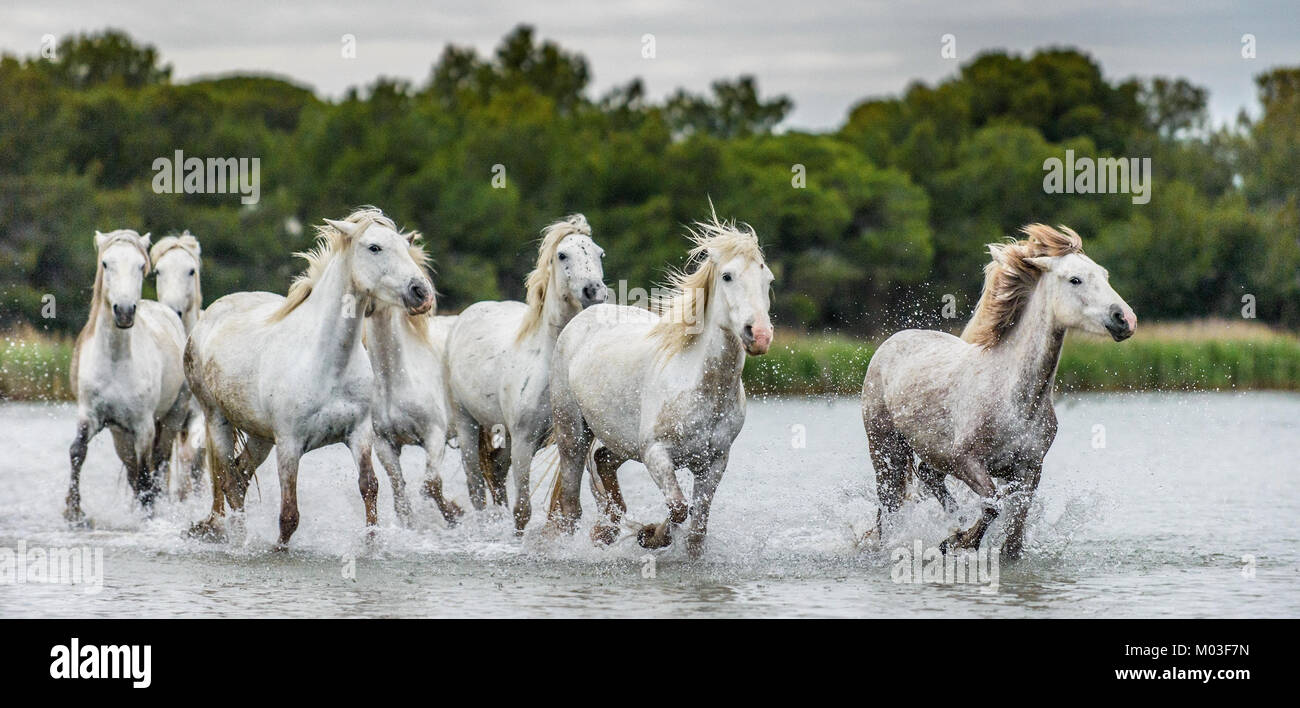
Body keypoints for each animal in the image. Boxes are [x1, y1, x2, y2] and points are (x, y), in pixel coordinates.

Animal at [66, 229, 190, 524]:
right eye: (105, 263)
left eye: (140, 265)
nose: (124, 311)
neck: (115, 360)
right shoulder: (90, 416)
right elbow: (77, 452)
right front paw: (74, 512)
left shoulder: (143, 426)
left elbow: (147, 471)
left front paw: (148, 516)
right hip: (119, 434)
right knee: (133, 470)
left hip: (173, 416)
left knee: (159, 462)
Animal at [185, 207, 434, 546]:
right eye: (374, 247)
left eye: (406, 247)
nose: (421, 293)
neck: (328, 364)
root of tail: (208, 317)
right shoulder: (290, 444)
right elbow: (289, 515)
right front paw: (279, 549)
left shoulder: (359, 433)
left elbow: (369, 488)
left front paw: (371, 545)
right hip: (216, 420)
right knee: (229, 483)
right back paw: (238, 540)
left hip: (261, 436)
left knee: (240, 476)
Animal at [444, 214, 607, 533]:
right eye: (562, 255)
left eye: (600, 253)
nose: (594, 292)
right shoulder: (524, 441)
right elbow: (522, 510)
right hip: (465, 421)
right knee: (475, 485)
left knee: (496, 472)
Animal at [548, 211, 774, 559]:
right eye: (727, 276)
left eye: (769, 281)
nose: (759, 335)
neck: (700, 386)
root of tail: (582, 319)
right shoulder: (656, 452)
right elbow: (679, 508)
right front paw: (650, 535)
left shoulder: (714, 462)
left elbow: (696, 527)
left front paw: (653, 535)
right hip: (572, 433)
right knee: (570, 505)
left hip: (621, 440)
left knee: (602, 461)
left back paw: (608, 528)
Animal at [861, 224, 1136, 559]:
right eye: (1075, 279)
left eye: (1104, 275)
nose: (1125, 320)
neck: (1015, 399)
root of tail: (890, 342)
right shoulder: (965, 460)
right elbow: (993, 504)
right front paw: (956, 541)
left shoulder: (1029, 468)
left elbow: (1015, 531)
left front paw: (963, 538)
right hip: (886, 449)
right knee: (889, 505)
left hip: (929, 452)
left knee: (928, 476)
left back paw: (954, 520)